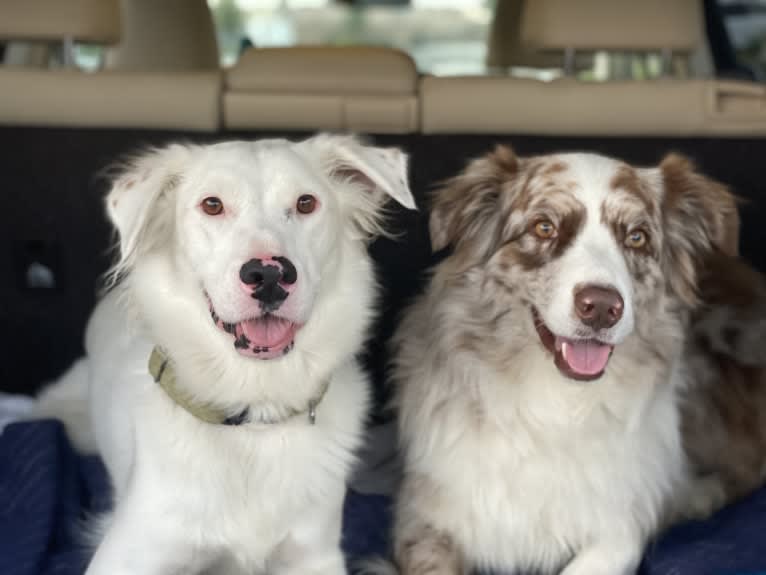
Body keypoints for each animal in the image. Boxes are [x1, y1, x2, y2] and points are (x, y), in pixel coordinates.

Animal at [36, 134, 416, 575]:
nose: (269, 275)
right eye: (212, 205)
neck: (253, 415)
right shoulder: (126, 555)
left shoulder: (314, 555)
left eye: (306, 203)